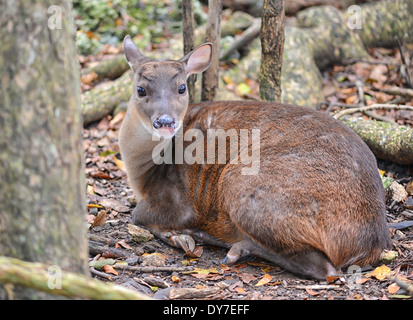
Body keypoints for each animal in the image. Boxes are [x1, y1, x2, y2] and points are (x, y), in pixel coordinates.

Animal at [118, 35, 390, 280]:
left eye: (181, 88)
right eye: (140, 89)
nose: (165, 121)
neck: (143, 171)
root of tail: (370, 243)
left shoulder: (178, 201)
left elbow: (139, 215)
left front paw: (179, 236)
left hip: (243, 183)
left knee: (326, 269)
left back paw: (232, 245)